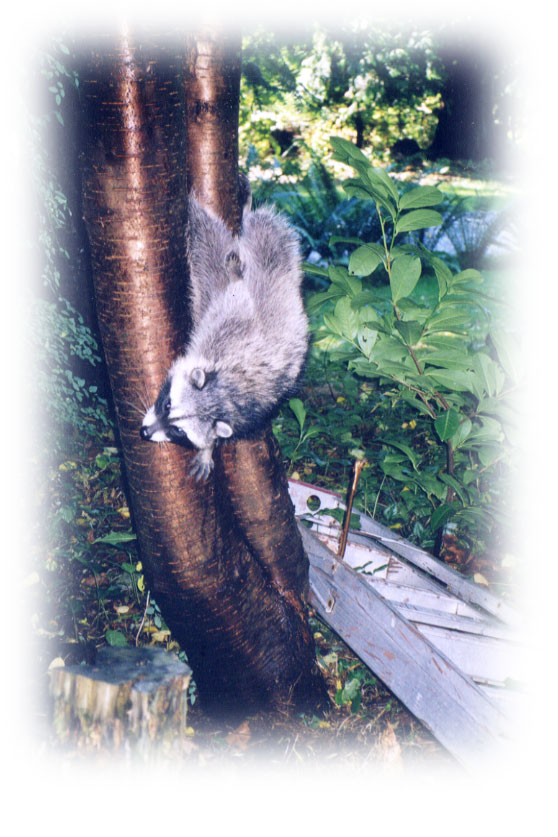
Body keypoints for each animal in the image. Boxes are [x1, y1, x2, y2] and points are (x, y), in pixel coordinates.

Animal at [140, 184, 308, 480]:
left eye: (177, 431)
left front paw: (208, 447)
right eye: (167, 405)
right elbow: (207, 245)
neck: (224, 393)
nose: (145, 432)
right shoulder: (223, 330)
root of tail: (280, 278)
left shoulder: (254, 408)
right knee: (223, 243)